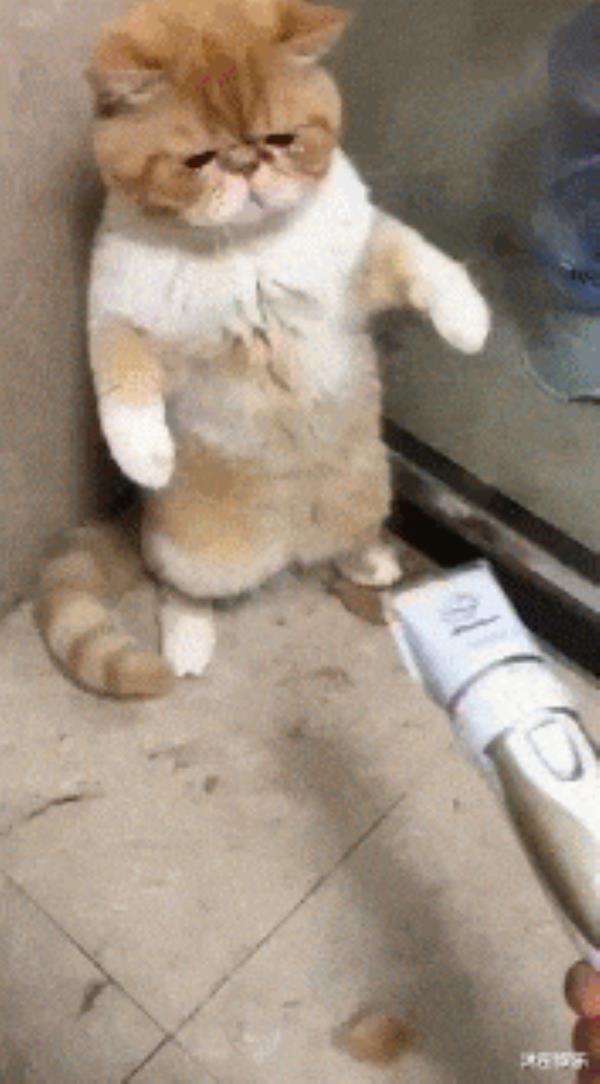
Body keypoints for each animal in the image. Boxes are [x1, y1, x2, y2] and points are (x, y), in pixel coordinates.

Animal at [36, 0, 491, 697]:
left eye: (280, 140)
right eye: (199, 159)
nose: (247, 164)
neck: (247, 251)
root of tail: (290, 543)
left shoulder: (361, 264)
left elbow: (423, 262)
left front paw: (470, 323)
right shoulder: (121, 315)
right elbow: (121, 380)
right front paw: (147, 454)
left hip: (369, 490)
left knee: (346, 541)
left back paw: (370, 562)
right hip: (197, 554)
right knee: (178, 587)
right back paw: (189, 638)